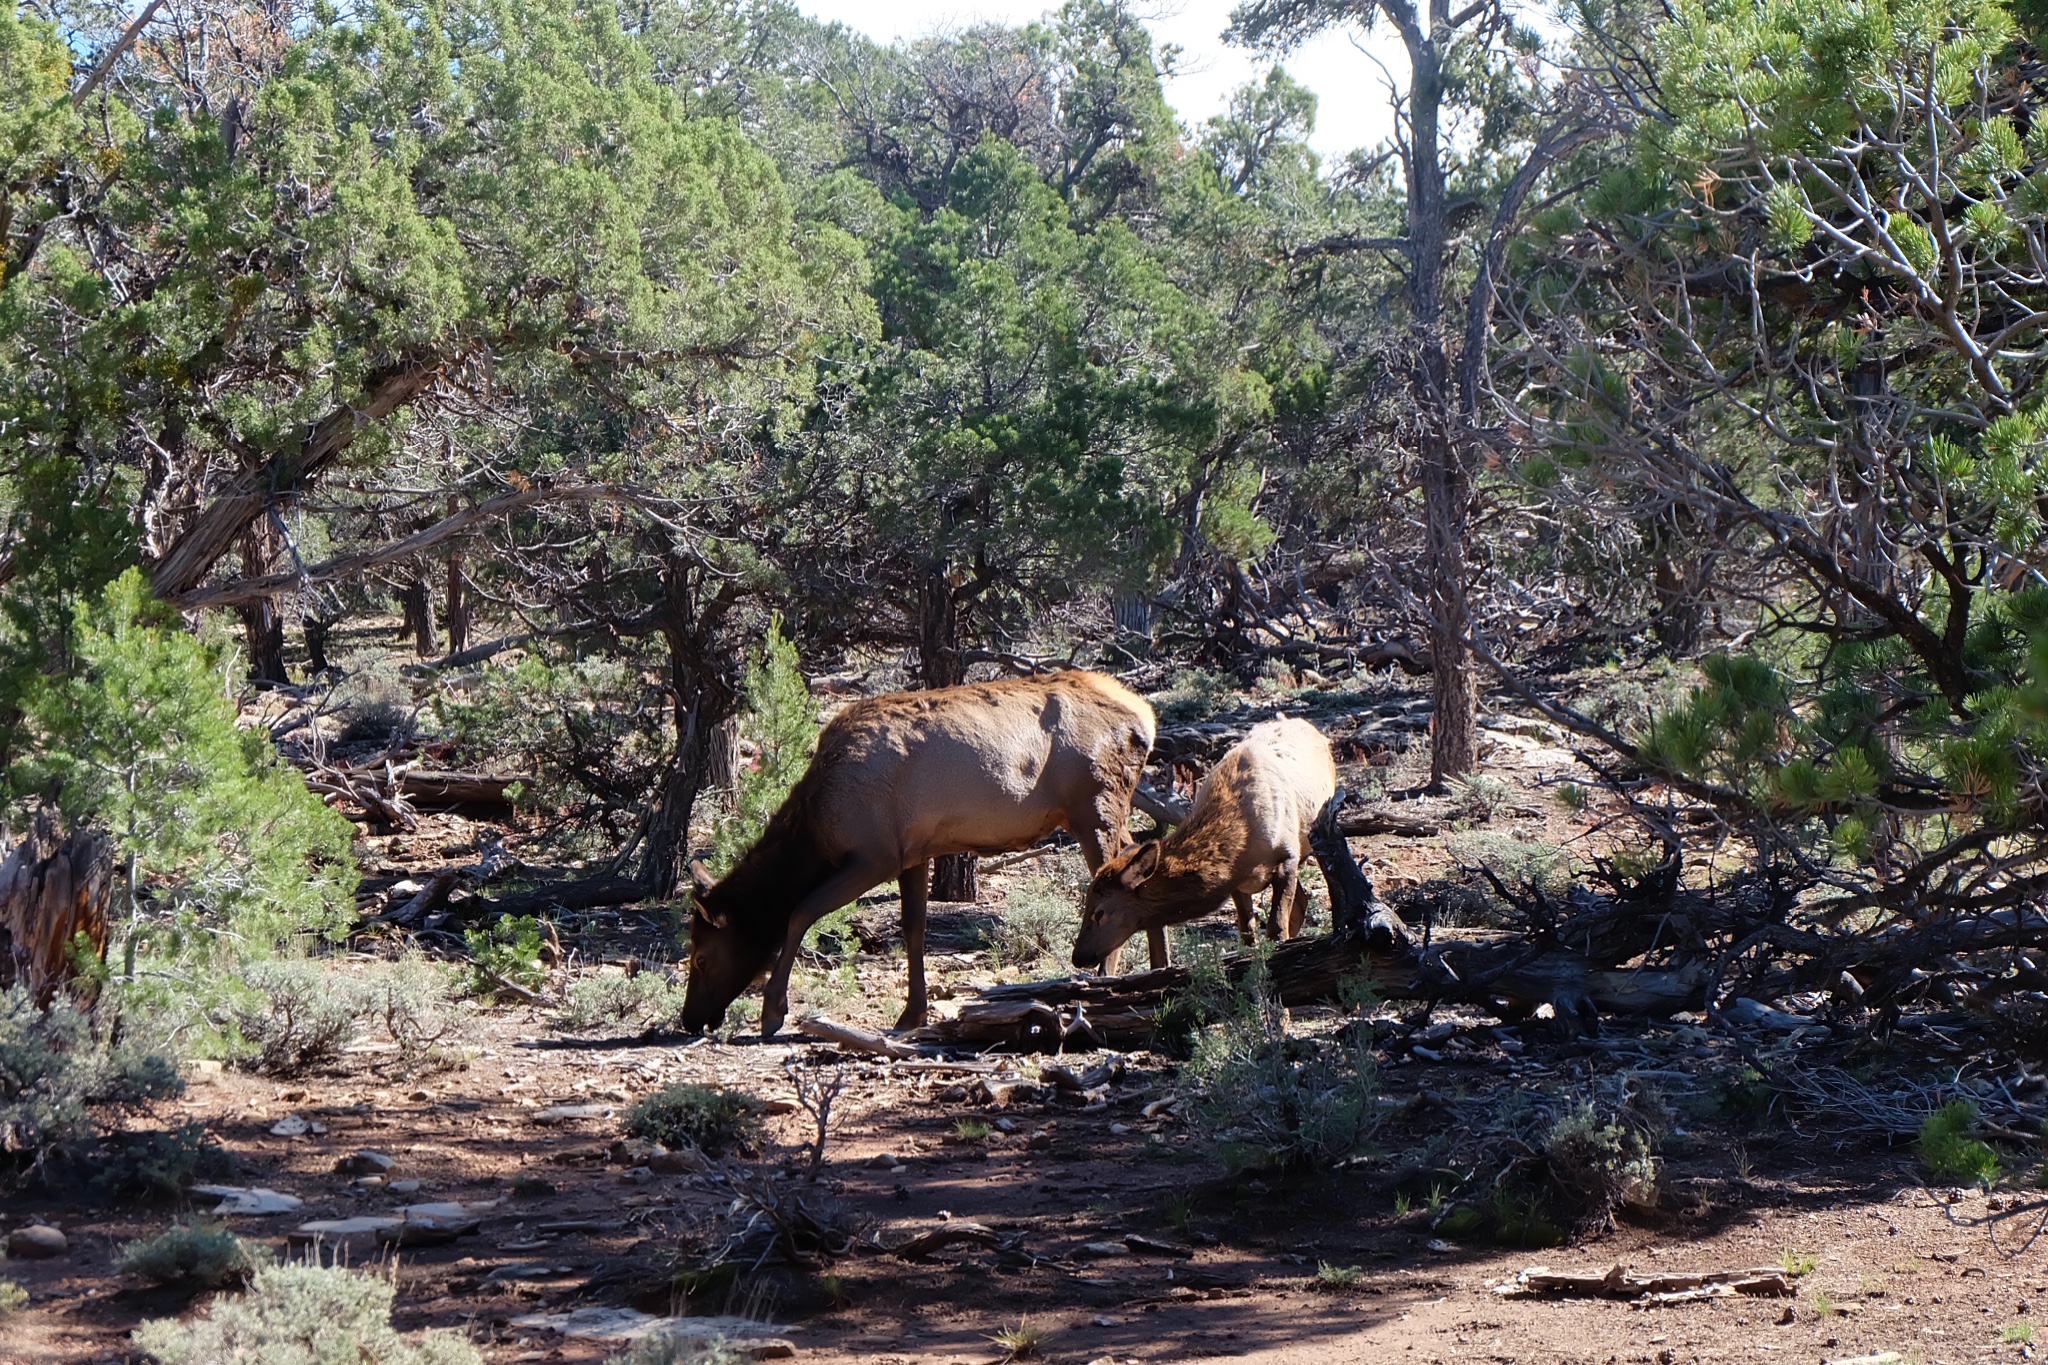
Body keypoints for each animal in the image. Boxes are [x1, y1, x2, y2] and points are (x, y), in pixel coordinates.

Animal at [684, 671, 1155, 1035]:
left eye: (702, 957)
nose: (689, 1019)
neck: (818, 827)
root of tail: (1147, 718)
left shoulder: (874, 854)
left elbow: (799, 912)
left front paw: (772, 1011)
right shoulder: (912, 853)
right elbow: (913, 930)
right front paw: (912, 1015)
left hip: (1093, 805)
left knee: (1113, 877)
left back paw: (1104, 982)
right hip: (1104, 809)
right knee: (1143, 858)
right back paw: (1155, 970)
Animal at [1064, 716, 1335, 970]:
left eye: (1100, 913)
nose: (1078, 957)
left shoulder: (1287, 857)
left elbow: (1277, 932)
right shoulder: (1237, 884)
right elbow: (1248, 937)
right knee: (1302, 901)